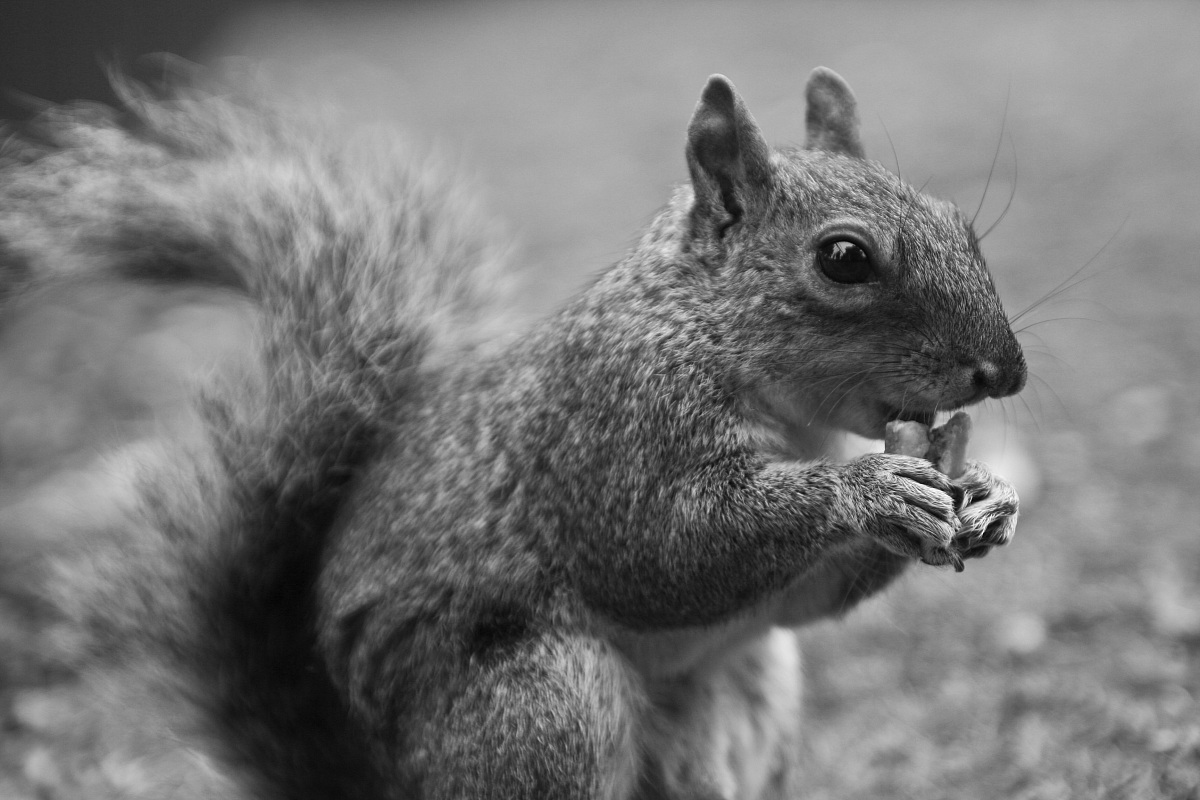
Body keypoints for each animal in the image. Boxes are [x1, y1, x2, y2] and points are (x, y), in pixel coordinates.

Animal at [0, 64, 1025, 800]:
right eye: (843, 259)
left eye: (959, 223)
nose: (1004, 374)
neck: (702, 329)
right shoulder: (609, 428)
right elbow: (669, 548)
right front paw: (872, 490)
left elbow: (798, 599)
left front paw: (984, 489)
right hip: (541, 703)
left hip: (739, 696)